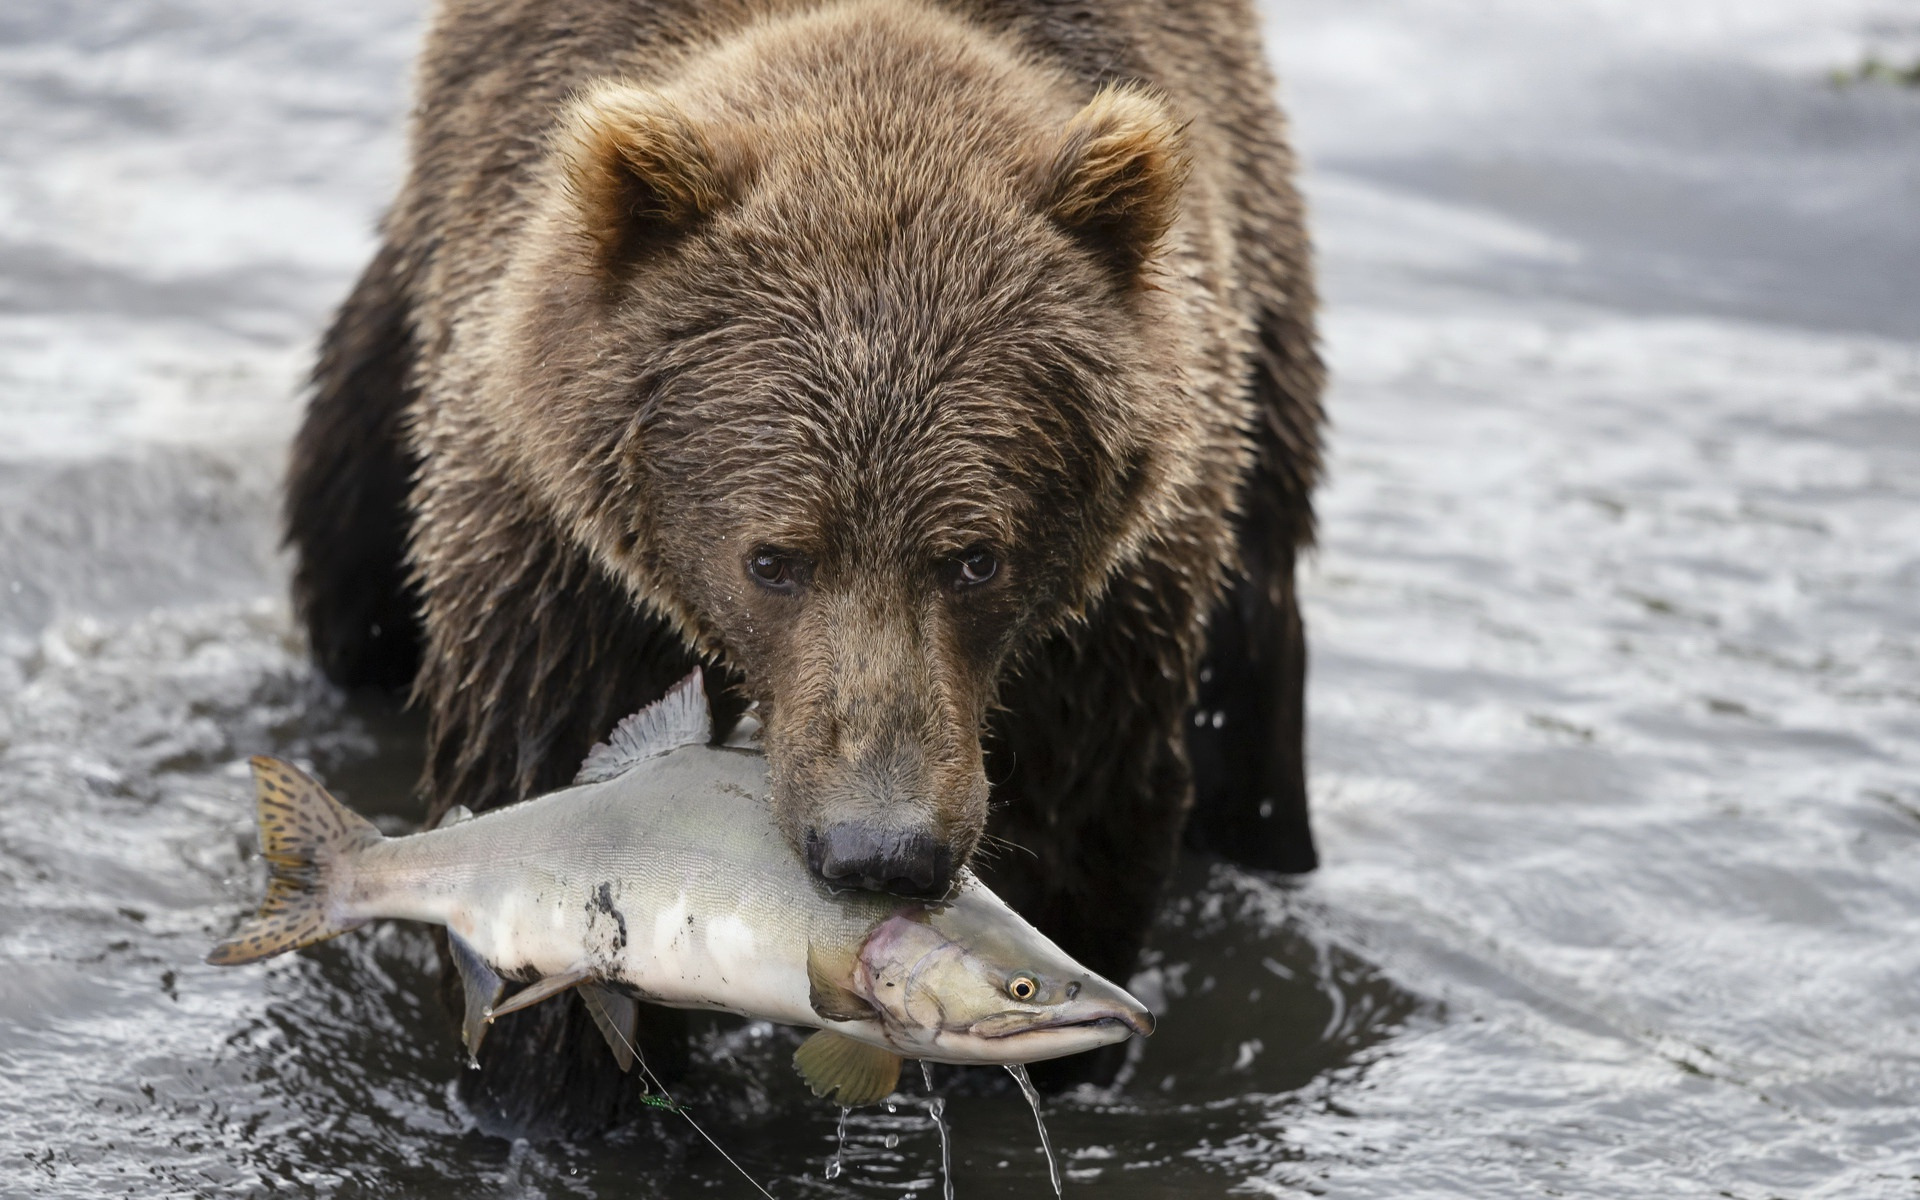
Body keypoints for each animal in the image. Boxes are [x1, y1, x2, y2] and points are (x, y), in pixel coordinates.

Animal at [284, 0, 1320, 1128]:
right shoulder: (559, 555)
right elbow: (539, 782)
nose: (883, 848)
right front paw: (563, 1098)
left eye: (976, 559)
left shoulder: (1111, 618)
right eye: (774, 558)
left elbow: (1081, 835)